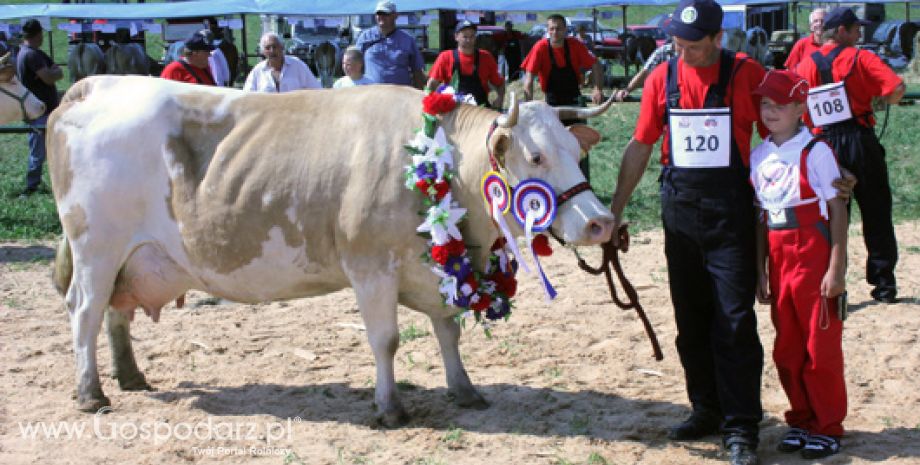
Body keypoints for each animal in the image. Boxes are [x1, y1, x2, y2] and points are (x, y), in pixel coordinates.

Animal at [46, 75, 616, 424]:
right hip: (97, 247)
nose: (601, 222)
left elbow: (448, 330)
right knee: (85, 311)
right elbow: (386, 341)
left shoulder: (431, 270)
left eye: (575, 150)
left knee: (115, 312)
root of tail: (94, 86)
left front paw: (465, 389)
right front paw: (389, 408)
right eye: (536, 157)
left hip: (127, 256)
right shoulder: (371, 267)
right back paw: (91, 393)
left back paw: (130, 377)